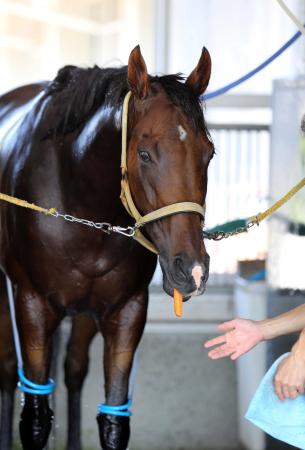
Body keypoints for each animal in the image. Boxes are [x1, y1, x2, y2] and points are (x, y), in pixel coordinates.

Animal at [0, 45, 214, 450]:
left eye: (208, 153)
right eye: (144, 153)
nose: (191, 270)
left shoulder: (126, 311)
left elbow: (114, 423)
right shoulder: (31, 304)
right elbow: (34, 419)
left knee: (73, 371)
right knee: (6, 371)